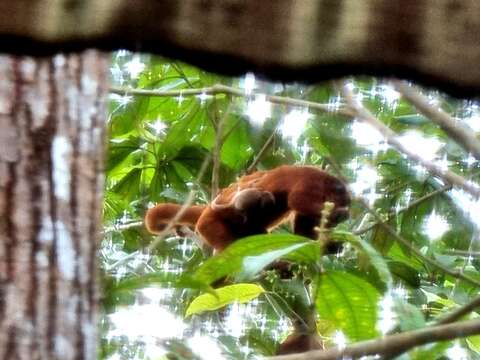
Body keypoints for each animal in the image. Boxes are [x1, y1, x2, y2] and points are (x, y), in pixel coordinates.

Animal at [144, 165, 350, 252]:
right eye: (343, 200)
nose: (346, 207)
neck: (325, 182)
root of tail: (207, 209)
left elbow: (302, 228)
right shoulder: (310, 181)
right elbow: (298, 200)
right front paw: (337, 215)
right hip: (209, 223)